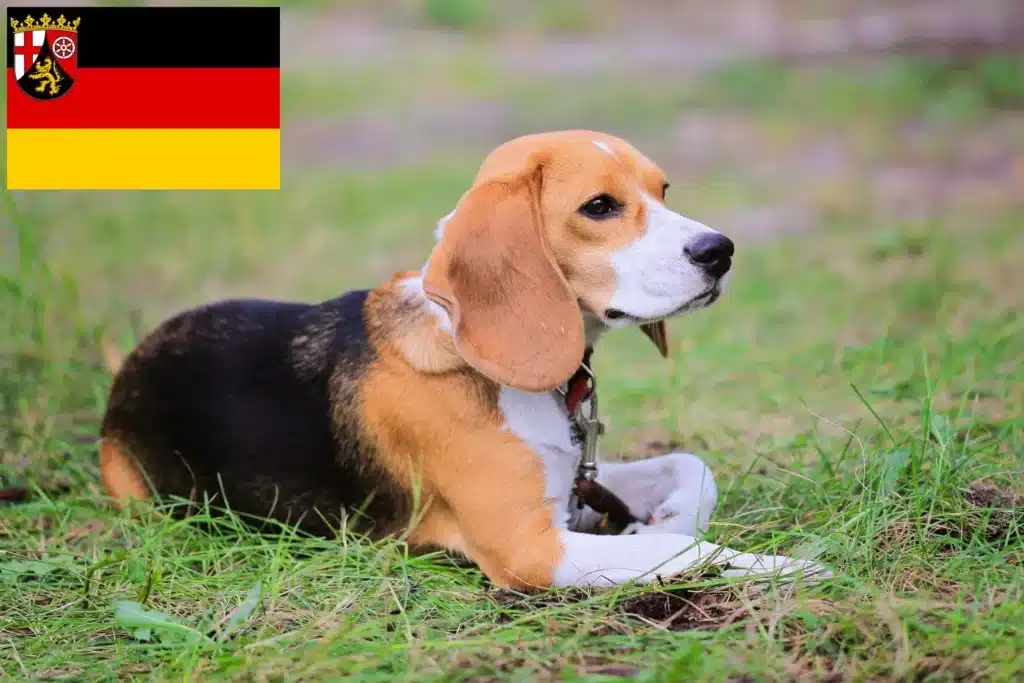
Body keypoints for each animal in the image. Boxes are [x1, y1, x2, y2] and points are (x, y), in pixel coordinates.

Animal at [99, 131, 827, 589]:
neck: (478, 357)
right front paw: (785, 566)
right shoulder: (531, 549)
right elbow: (675, 548)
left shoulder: (570, 480)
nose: (720, 250)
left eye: (664, 188)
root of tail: (130, 366)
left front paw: (669, 515)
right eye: (599, 206)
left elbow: (689, 466)